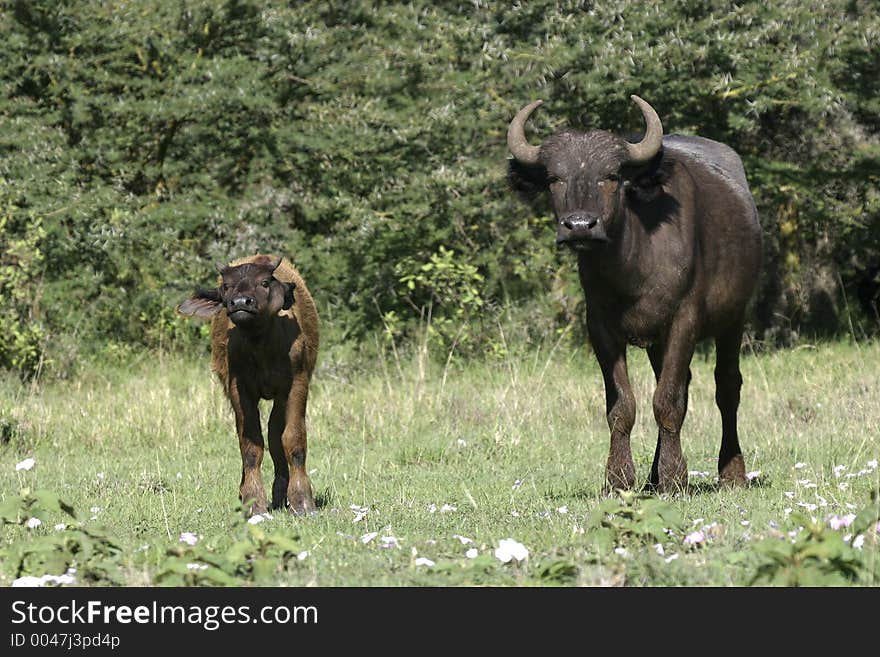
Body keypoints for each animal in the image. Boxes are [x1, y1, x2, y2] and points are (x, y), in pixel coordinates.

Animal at [179, 254, 320, 516]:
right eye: (226, 286)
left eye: (264, 282)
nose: (240, 302)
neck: (261, 345)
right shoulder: (238, 389)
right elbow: (250, 444)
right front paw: (253, 501)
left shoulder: (296, 384)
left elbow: (293, 439)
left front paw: (302, 501)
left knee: (275, 435)